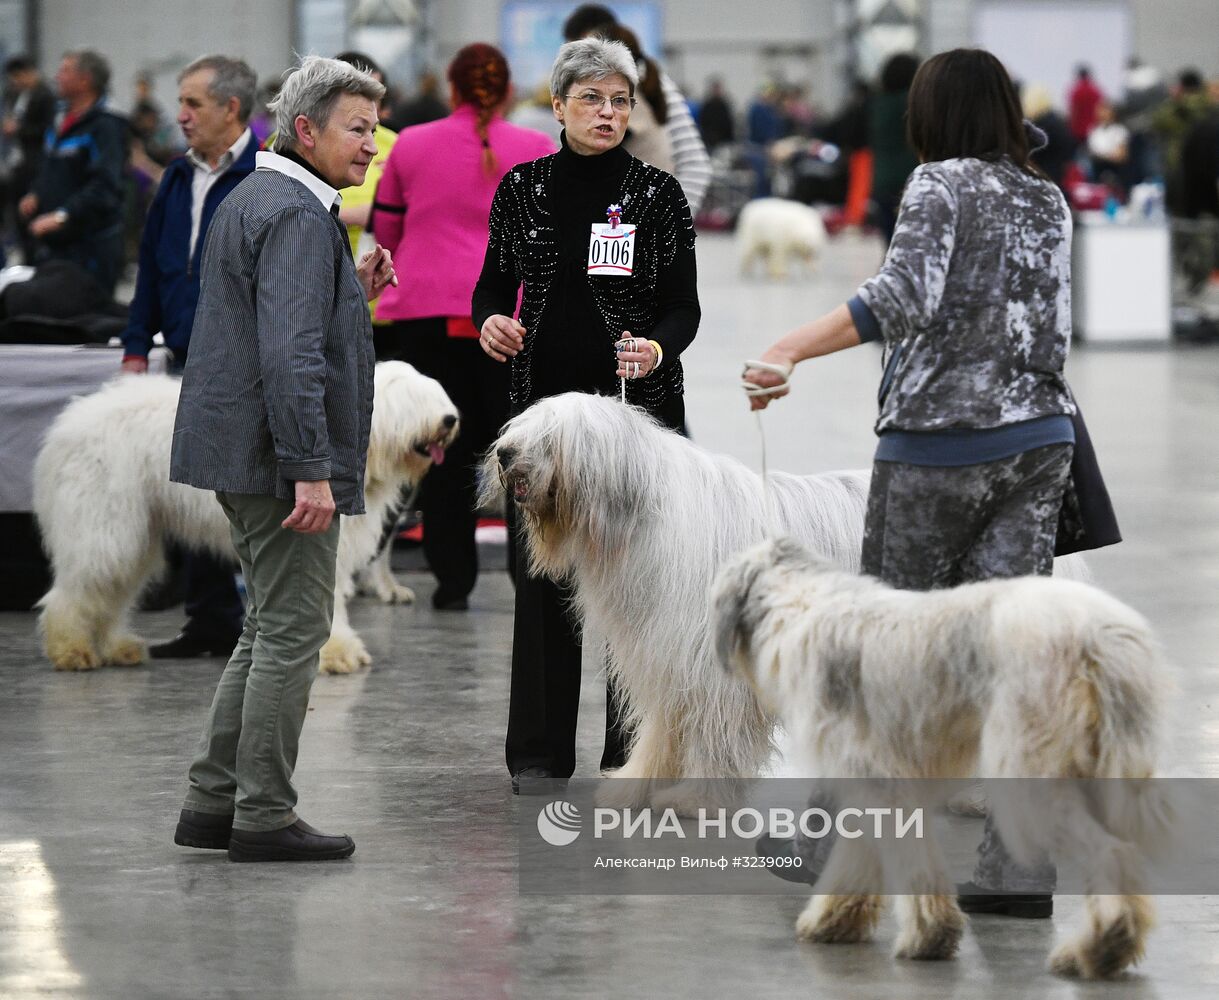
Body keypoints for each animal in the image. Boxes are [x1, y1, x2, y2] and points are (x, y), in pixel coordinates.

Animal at [38, 363, 458, 678]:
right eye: (413, 401)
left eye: (436, 395)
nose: (451, 419)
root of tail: (64, 428)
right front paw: (335, 654)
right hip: (104, 524)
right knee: (77, 589)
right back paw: (72, 650)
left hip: (133, 530)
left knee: (112, 591)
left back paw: (117, 648)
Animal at [711, 539, 1170, 985]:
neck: (804, 610)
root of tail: (1098, 639)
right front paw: (837, 921)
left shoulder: (879, 781)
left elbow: (911, 865)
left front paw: (927, 936)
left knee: (1111, 853)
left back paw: (1100, 947)